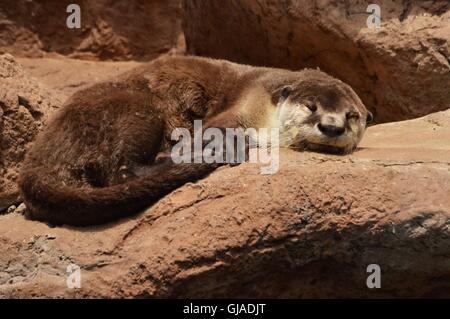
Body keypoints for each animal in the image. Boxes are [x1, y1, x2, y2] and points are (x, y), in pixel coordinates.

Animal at [18, 56, 372, 226]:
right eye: (312, 107)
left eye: (351, 115)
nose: (331, 127)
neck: (269, 102)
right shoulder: (245, 105)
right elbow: (212, 131)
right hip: (137, 108)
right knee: (122, 170)